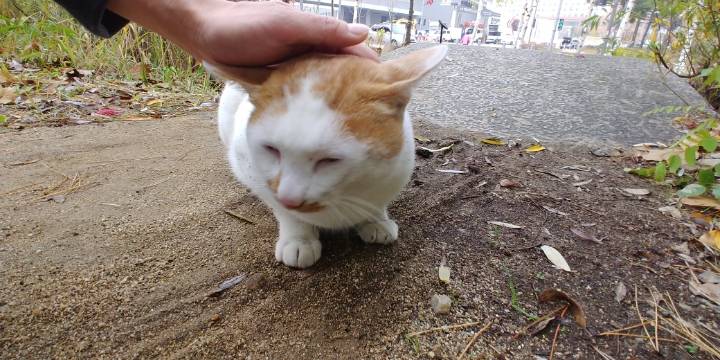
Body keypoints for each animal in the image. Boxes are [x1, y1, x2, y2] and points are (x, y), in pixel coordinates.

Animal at [205, 45, 448, 268]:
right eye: (271, 149)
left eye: (330, 160)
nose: (289, 198)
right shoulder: (249, 170)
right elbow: (283, 211)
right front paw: (298, 237)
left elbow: (376, 204)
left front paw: (376, 219)